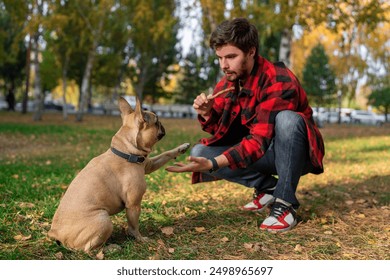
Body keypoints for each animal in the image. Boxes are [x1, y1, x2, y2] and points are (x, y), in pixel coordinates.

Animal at [48, 97, 191, 253]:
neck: (125, 152)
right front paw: (140, 239)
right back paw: (111, 248)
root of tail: (55, 234)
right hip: (103, 219)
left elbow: (165, 154)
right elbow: (134, 226)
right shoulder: (133, 204)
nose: (162, 123)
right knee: (89, 249)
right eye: (156, 120)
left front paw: (182, 147)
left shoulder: (148, 164)